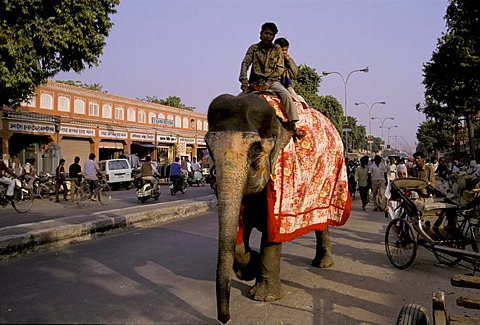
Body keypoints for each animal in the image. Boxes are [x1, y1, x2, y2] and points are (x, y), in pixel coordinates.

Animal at [205, 92, 344, 322]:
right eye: (208, 147)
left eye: (255, 149)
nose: (224, 319)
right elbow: (242, 226)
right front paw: (248, 269)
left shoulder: (280, 169)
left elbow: (272, 229)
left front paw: (264, 297)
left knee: (321, 218)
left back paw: (323, 264)